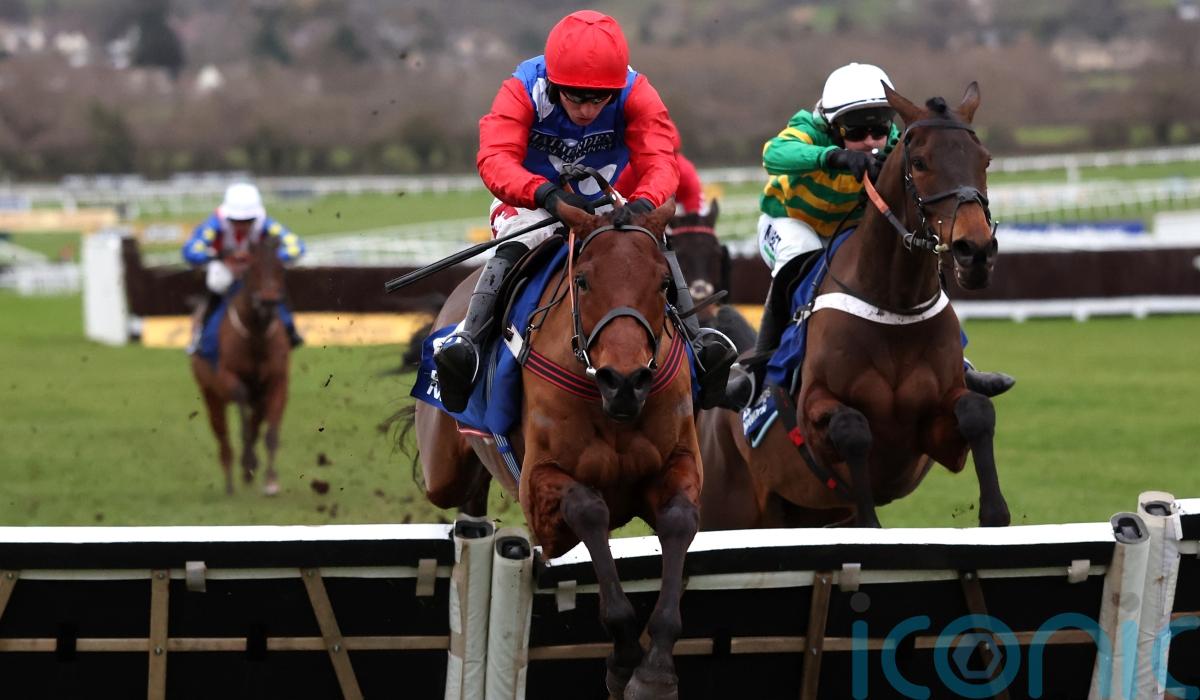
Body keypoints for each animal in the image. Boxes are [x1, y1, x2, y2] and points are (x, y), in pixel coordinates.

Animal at [190, 235, 290, 496]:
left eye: (281, 268)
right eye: (252, 268)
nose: (268, 300)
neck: (256, 336)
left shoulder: (278, 381)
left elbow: (270, 433)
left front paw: (270, 480)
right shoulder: (227, 378)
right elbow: (243, 418)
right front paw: (249, 462)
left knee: (256, 421)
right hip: (210, 395)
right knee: (223, 435)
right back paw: (230, 482)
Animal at [414, 201, 701, 699]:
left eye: (665, 282)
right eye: (582, 280)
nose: (625, 381)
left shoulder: (678, 462)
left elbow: (679, 520)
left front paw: (655, 670)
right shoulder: (539, 483)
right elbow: (589, 509)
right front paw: (624, 656)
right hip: (441, 468)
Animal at [699, 82, 1011, 531]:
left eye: (984, 160)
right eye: (920, 162)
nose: (976, 251)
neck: (893, 306)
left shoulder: (937, 430)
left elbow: (976, 410)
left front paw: (994, 513)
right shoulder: (814, 416)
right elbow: (852, 428)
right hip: (723, 510)